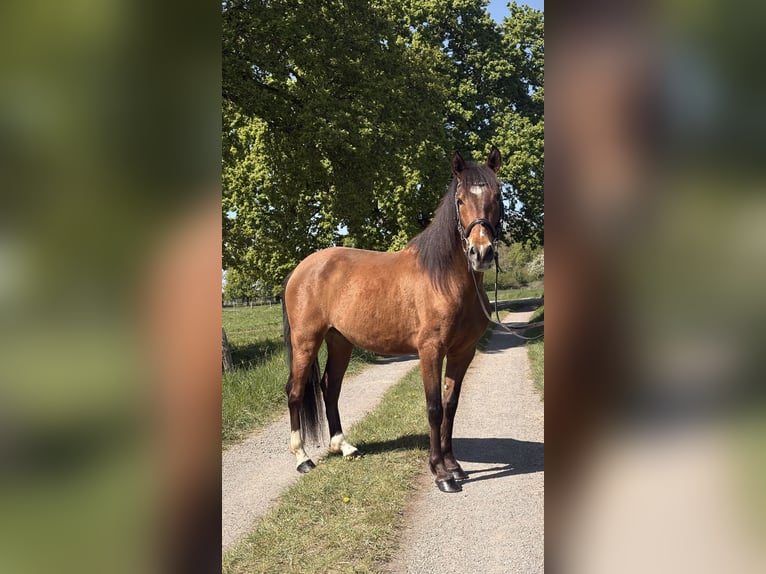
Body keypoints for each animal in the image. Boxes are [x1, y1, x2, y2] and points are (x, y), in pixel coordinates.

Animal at [281, 147, 503, 493]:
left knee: (330, 387)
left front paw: (454, 466)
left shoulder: (463, 352)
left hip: (340, 341)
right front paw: (440, 473)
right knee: (294, 390)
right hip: (305, 340)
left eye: (498, 195)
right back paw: (303, 458)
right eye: (460, 199)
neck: (445, 279)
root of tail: (300, 270)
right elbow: (434, 408)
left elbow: (451, 406)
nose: (481, 253)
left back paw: (344, 447)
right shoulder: (430, 351)